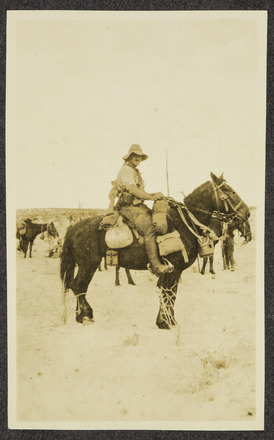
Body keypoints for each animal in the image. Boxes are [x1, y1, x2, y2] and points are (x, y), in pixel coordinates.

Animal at [59, 174, 250, 328]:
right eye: (229, 190)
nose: (246, 213)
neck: (183, 224)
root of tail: (73, 228)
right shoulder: (174, 269)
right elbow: (169, 294)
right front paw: (166, 322)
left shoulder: (173, 271)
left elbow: (169, 293)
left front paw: (166, 320)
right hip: (88, 265)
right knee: (77, 285)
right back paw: (87, 314)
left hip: (86, 265)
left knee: (80, 286)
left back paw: (80, 316)